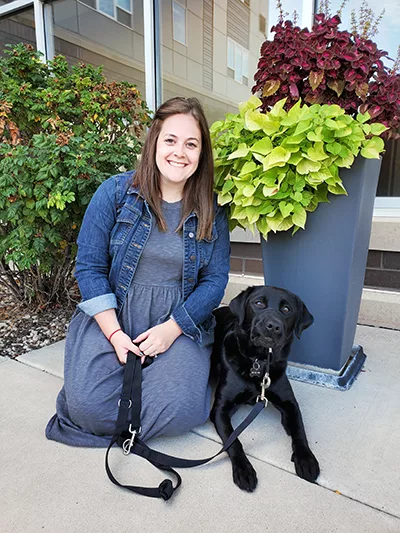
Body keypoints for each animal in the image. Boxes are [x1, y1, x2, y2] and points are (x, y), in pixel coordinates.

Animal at [211, 286, 320, 490]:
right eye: (259, 303)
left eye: (286, 309)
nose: (273, 325)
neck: (259, 362)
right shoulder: (220, 409)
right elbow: (233, 440)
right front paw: (243, 469)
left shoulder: (290, 404)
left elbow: (300, 431)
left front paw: (306, 459)